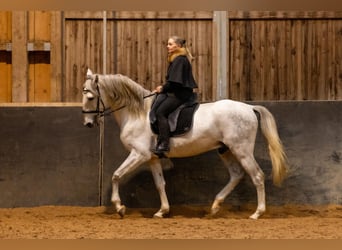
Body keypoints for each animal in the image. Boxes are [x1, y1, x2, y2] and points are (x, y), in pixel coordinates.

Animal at [83, 68, 288, 219]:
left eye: (90, 97)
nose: (88, 124)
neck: (137, 113)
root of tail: (249, 107)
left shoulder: (139, 154)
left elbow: (116, 175)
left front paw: (119, 207)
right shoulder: (152, 158)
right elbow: (160, 184)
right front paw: (162, 211)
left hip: (242, 150)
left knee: (257, 176)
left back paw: (257, 213)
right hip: (226, 150)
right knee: (236, 175)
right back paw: (215, 206)